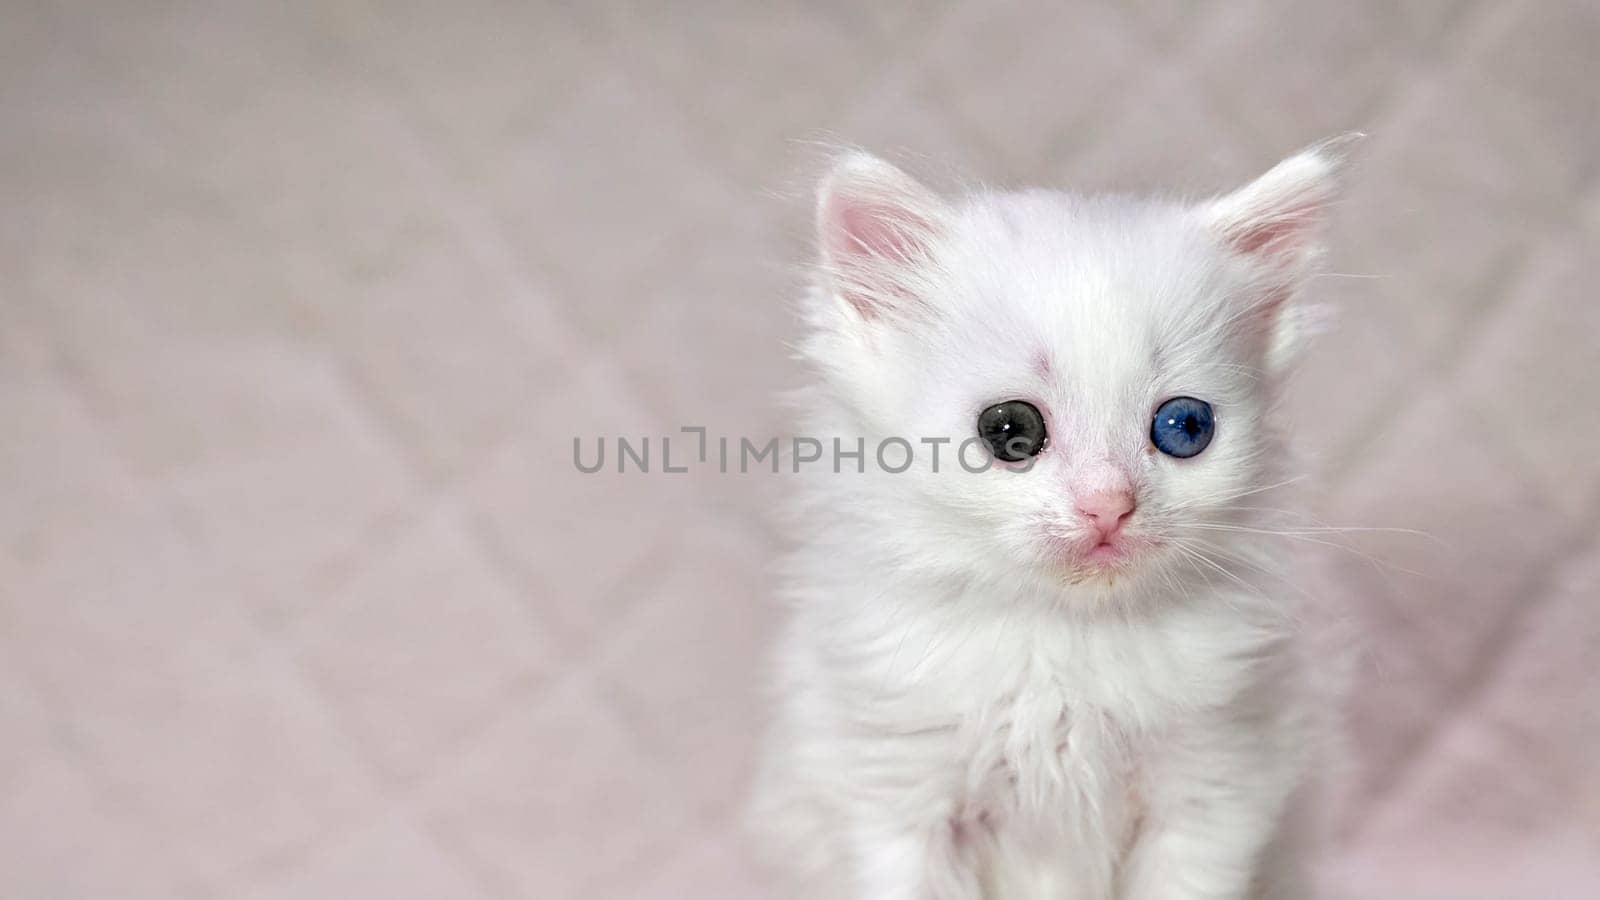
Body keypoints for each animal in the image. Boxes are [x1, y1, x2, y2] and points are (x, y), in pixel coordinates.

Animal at [748, 143, 1350, 890]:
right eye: (1011, 430)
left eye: (1185, 426)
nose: (1109, 504)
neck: (1062, 638)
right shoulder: (896, 801)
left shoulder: (1217, 789)